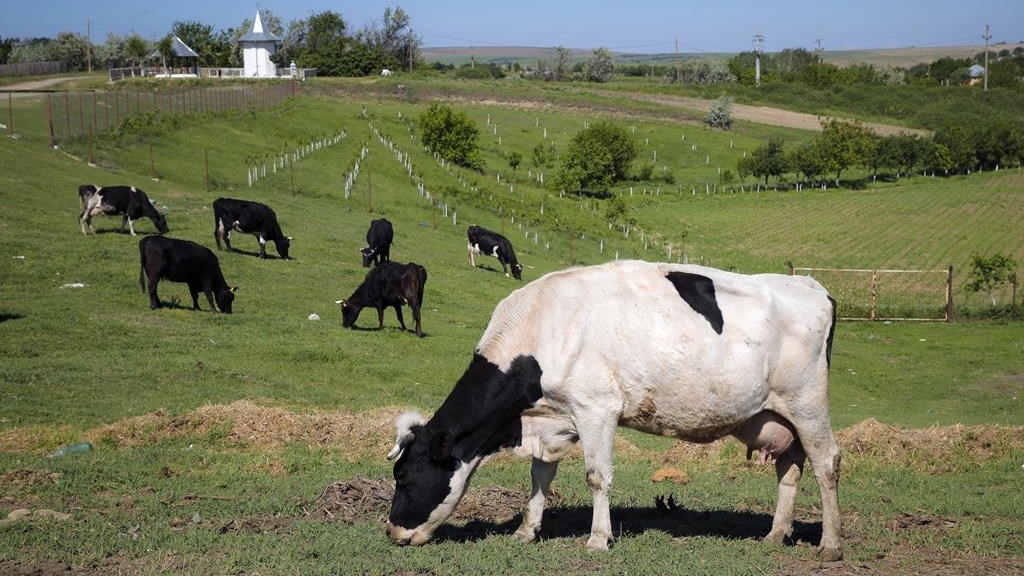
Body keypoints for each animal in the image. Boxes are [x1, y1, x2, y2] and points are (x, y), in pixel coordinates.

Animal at [385, 260, 839, 561]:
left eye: (403, 478)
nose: (392, 532)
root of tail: (813, 286)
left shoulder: (596, 408)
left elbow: (596, 477)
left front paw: (598, 539)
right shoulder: (553, 418)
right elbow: (540, 476)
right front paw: (526, 530)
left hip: (808, 404)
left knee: (826, 463)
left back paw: (830, 544)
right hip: (778, 416)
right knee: (790, 469)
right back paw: (776, 534)